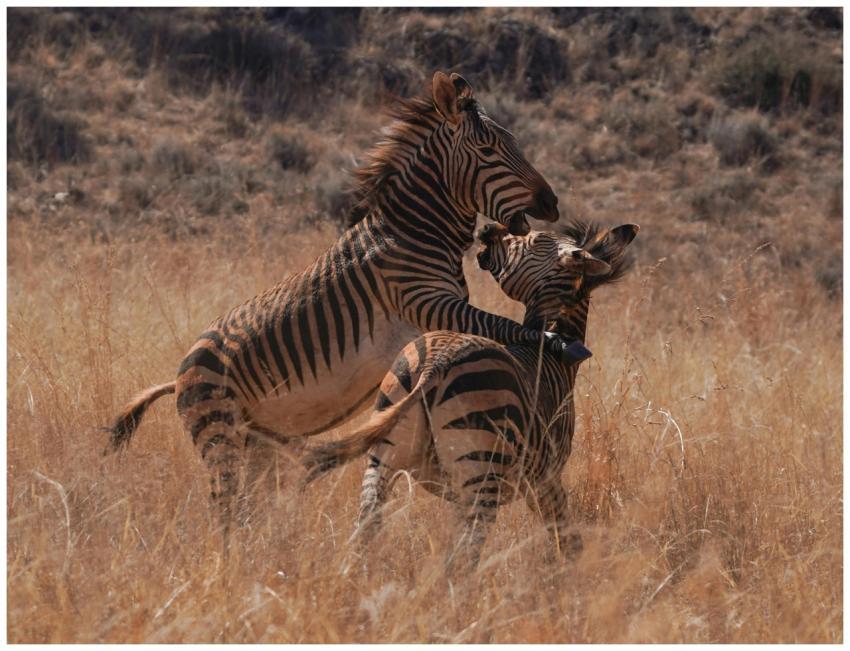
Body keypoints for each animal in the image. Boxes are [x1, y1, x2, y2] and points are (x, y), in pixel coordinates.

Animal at [104, 71, 581, 539]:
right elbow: (502, 324)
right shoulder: (425, 301)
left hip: (259, 442)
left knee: (246, 508)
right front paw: (557, 342)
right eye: (488, 150)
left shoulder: (440, 310)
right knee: (225, 507)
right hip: (220, 431)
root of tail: (178, 373)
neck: (416, 234)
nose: (552, 202)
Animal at [302, 219, 639, 575]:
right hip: (482, 473)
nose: (488, 228)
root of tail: (436, 364)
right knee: (464, 556)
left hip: (387, 452)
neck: (551, 355)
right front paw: (572, 577)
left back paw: (355, 577)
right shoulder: (545, 477)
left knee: (368, 525)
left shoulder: (489, 488)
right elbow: (566, 537)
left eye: (533, 240)